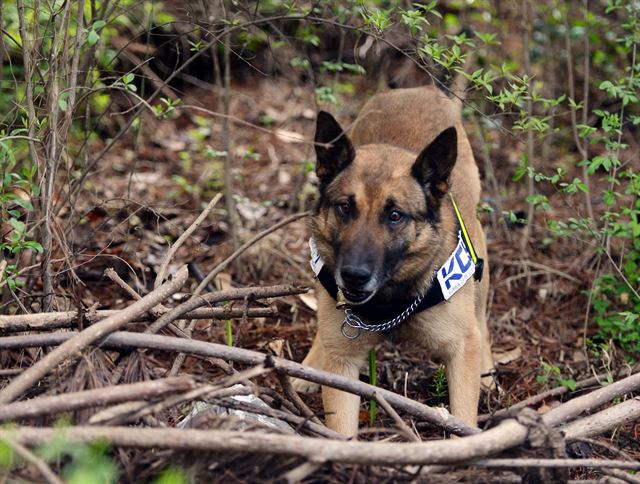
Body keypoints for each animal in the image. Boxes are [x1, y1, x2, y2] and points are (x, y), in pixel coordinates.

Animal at [292, 80, 496, 438]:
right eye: (345, 207)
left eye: (395, 216)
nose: (354, 275)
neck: (390, 300)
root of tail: (421, 88)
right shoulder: (343, 368)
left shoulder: (460, 350)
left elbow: (462, 417)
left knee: (481, 324)